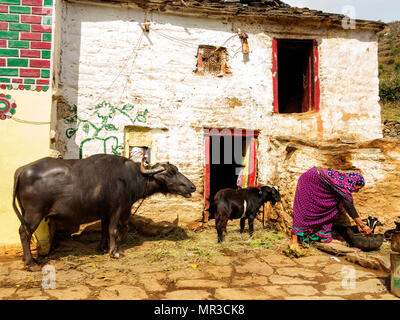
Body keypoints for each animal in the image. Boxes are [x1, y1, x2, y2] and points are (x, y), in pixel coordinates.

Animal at [13, 154, 197, 268]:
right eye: (171, 172)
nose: (192, 187)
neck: (132, 177)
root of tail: (23, 169)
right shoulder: (117, 209)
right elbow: (113, 230)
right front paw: (114, 252)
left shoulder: (104, 212)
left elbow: (103, 230)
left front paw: (102, 247)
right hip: (34, 213)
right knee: (24, 232)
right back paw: (31, 263)